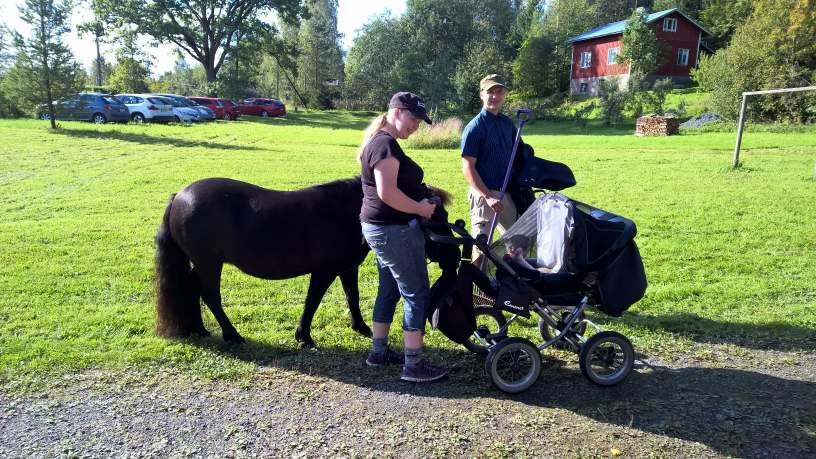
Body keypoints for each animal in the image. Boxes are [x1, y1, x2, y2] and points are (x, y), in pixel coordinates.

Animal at [153, 178, 460, 346]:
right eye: (437, 219)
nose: (455, 258)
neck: (347, 212)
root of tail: (179, 196)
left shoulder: (347, 268)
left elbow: (352, 297)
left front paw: (361, 327)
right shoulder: (324, 272)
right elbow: (312, 301)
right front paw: (304, 336)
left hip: (201, 264)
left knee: (193, 291)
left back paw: (200, 330)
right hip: (209, 263)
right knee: (210, 295)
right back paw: (231, 334)